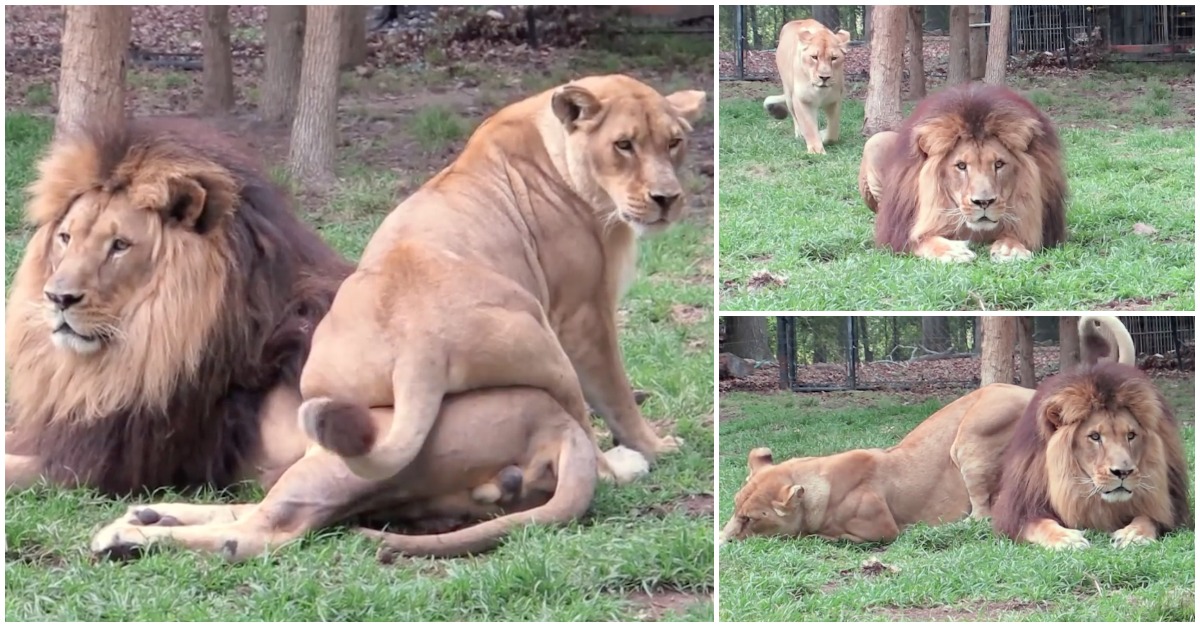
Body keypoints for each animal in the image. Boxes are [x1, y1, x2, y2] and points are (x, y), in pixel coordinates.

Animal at [88, 75, 705, 559]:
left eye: (674, 143)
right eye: (623, 145)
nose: (667, 198)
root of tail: (419, 345)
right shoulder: (583, 311)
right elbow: (616, 394)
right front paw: (655, 445)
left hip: (329, 414)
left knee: (260, 507)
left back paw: (139, 522)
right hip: (545, 349)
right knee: (256, 534)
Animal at [715, 379, 1036, 540]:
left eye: (749, 519)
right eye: (735, 510)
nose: (722, 543)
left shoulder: (881, 529)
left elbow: (823, 535)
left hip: (973, 436)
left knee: (981, 516)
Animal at [763, 17, 849, 153]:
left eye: (834, 58)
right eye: (814, 57)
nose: (824, 77)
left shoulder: (834, 100)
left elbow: (833, 131)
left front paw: (824, 136)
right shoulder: (802, 100)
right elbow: (808, 126)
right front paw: (816, 150)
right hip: (788, 93)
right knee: (794, 116)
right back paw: (799, 133)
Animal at [859, 82, 1065, 260]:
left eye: (999, 164)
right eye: (961, 166)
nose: (984, 202)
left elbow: (1017, 234)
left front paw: (1010, 248)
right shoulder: (898, 232)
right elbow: (922, 239)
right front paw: (952, 251)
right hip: (876, 141)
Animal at [988, 317, 1195, 547]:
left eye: (1131, 435)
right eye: (1095, 437)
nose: (1123, 472)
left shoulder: (1169, 508)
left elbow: (1148, 517)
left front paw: (1134, 534)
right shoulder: (1019, 510)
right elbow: (1040, 524)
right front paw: (1066, 538)